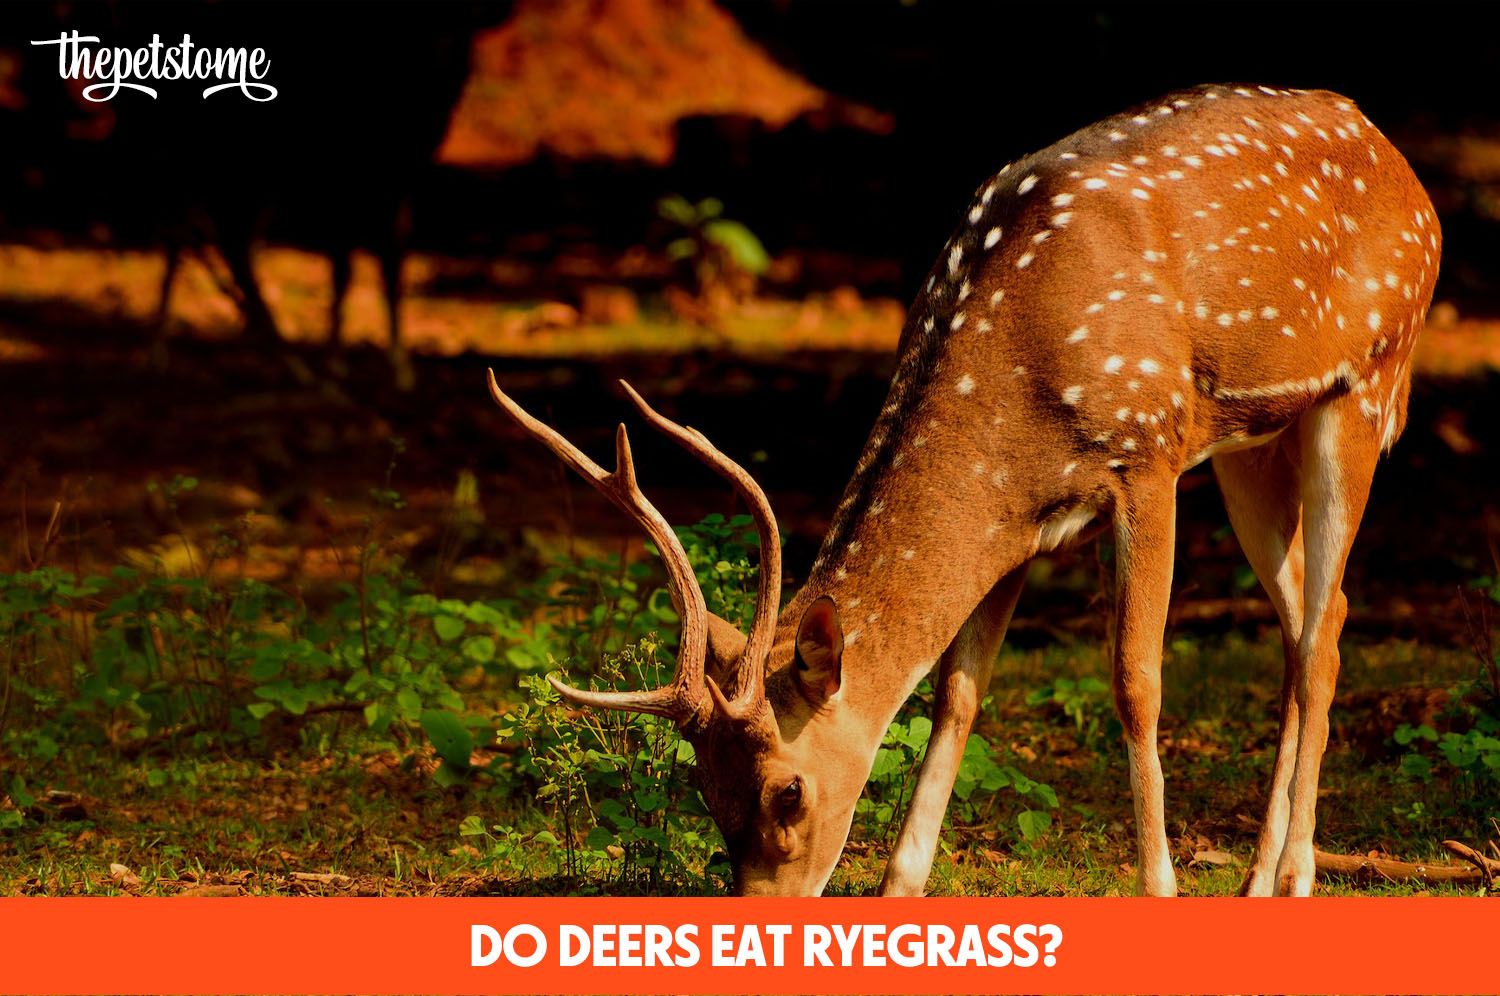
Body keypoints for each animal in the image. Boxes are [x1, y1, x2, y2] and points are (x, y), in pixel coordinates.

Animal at [486, 83, 1440, 898]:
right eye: (706, 794)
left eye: (788, 793)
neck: (1015, 377)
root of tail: (1402, 166)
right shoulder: (1023, 523)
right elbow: (958, 694)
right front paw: (899, 883)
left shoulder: (1149, 455)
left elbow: (1135, 681)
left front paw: (1159, 885)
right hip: (1252, 444)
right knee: (1313, 621)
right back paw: (1257, 877)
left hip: (1367, 384)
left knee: (1322, 636)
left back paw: (1296, 875)